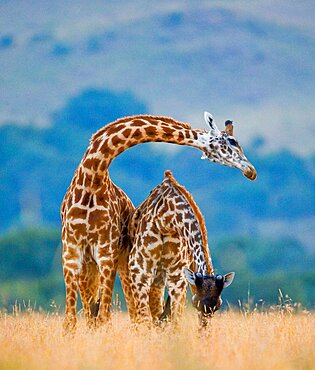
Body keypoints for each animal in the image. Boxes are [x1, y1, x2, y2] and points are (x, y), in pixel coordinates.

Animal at [128, 170, 235, 326]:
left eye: (218, 306)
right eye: (196, 303)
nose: (204, 329)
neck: (166, 219)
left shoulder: (177, 276)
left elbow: (174, 321)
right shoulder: (139, 270)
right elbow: (145, 319)